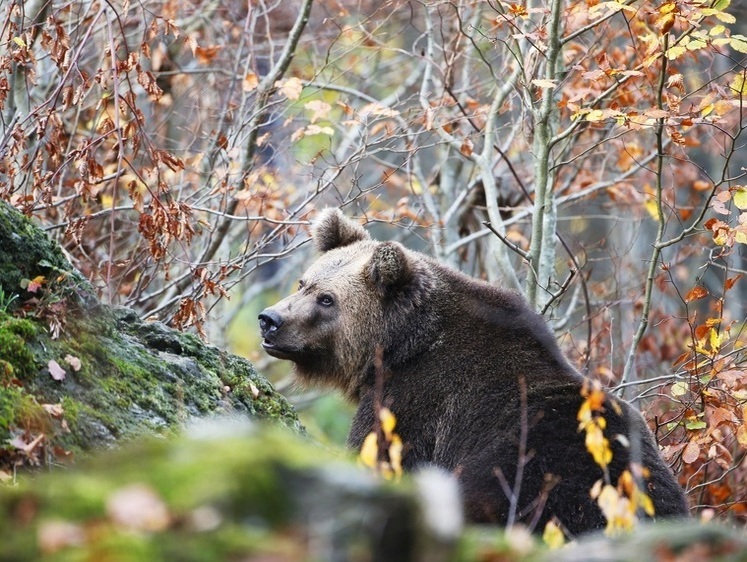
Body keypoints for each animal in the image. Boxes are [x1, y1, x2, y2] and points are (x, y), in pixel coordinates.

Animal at [258, 207, 688, 532]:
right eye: (304, 282)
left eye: (327, 299)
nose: (269, 319)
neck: (398, 347)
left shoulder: (413, 405)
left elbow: (379, 454)